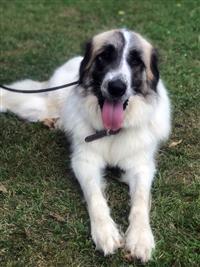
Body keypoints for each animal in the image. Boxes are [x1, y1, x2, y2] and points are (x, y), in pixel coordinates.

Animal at [0, 28, 171, 262]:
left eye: (136, 61)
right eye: (103, 57)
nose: (116, 87)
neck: (111, 132)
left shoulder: (141, 166)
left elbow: (140, 201)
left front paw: (141, 238)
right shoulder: (84, 162)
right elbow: (94, 196)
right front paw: (105, 232)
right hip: (45, 104)